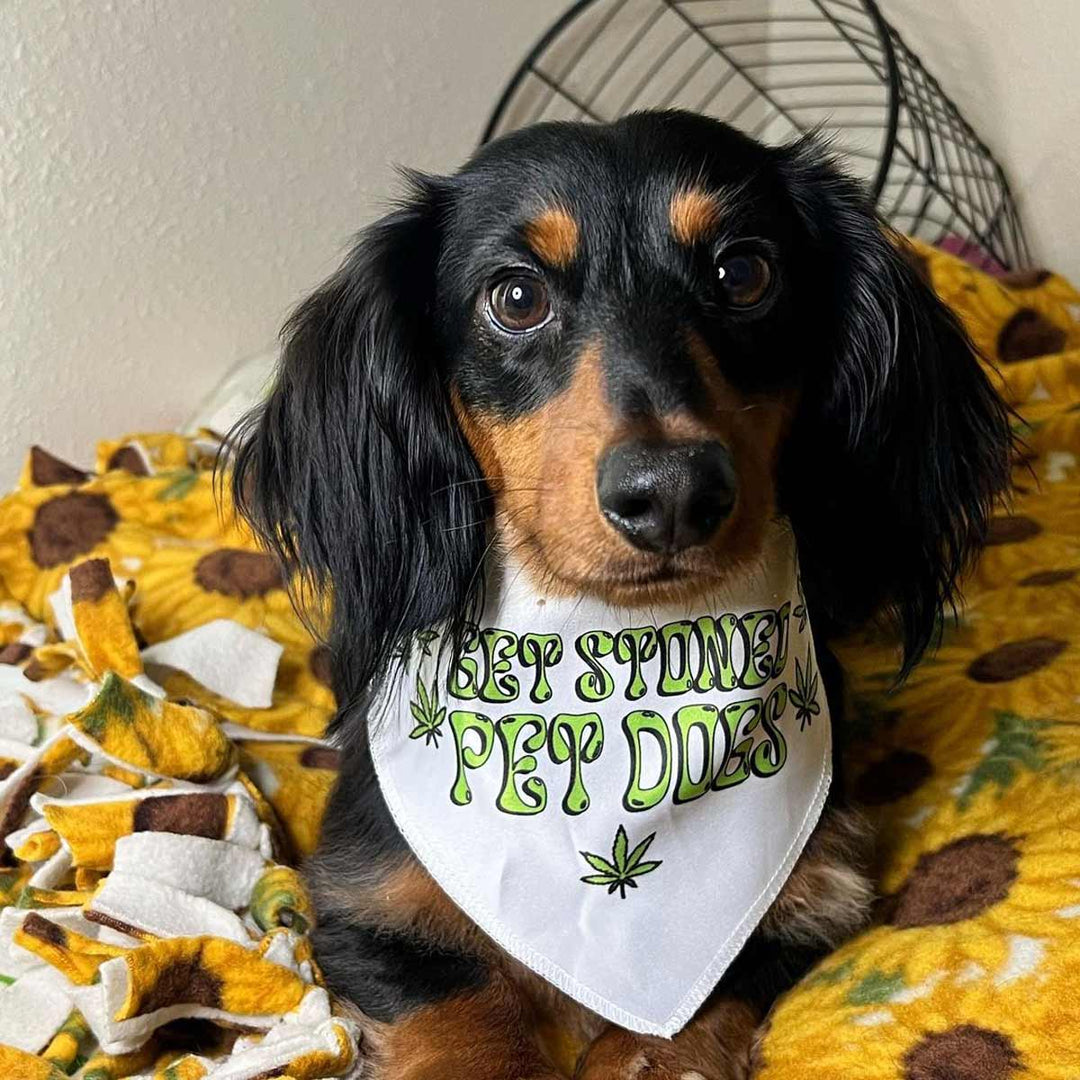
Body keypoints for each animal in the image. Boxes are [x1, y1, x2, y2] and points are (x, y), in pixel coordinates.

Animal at [227, 111, 1010, 1080]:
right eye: (515, 296)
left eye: (744, 273)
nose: (672, 494)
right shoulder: (371, 901)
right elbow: (467, 1021)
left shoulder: (814, 892)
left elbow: (683, 1019)